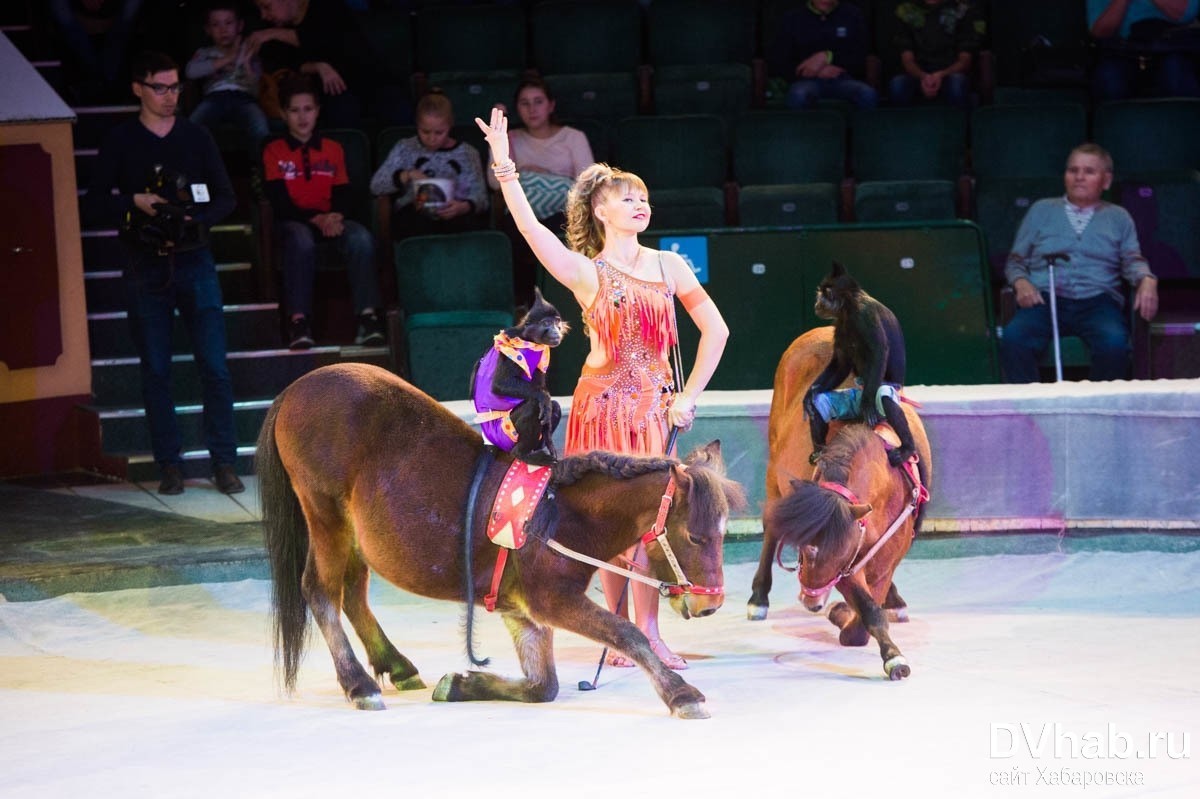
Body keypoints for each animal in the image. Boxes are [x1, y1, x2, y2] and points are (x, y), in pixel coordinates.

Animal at [255, 359, 739, 715]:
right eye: (695, 537)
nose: (710, 604)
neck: (560, 515)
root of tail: (295, 389)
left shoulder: (521, 610)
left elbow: (543, 685)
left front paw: (461, 684)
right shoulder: (551, 599)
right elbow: (626, 632)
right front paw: (680, 693)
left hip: (352, 531)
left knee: (353, 592)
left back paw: (396, 666)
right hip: (325, 517)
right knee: (320, 592)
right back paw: (358, 684)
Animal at [470, 286, 568, 463]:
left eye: (556, 322)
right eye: (546, 323)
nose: (556, 330)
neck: (529, 339)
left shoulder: (542, 351)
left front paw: (549, 441)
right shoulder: (512, 348)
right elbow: (500, 384)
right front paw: (544, 397)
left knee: (554, 406)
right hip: (504, 434)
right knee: (534, 405)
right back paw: (521, 454)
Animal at [744, 326, 931, 676]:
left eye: (837, 551)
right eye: (804, 551)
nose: (811, 602)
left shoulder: (878, 557)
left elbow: (872, 604)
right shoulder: (847, 570)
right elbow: (865, 613)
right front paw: (848, 617)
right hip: (774, 469)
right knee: (772, 525)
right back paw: (759, 598)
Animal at [806, 261, 916, 467]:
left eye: (822, 295)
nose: (816, 302)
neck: (848, 308)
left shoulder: (864, 314)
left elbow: (879, 351)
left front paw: (867, 404)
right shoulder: (841, 323)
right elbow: (841, 364)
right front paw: (809, 394)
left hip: (885, 393)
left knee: (884, 396)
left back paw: (907, 449)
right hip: (851, 401)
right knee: (820, 402)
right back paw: (820, 451)